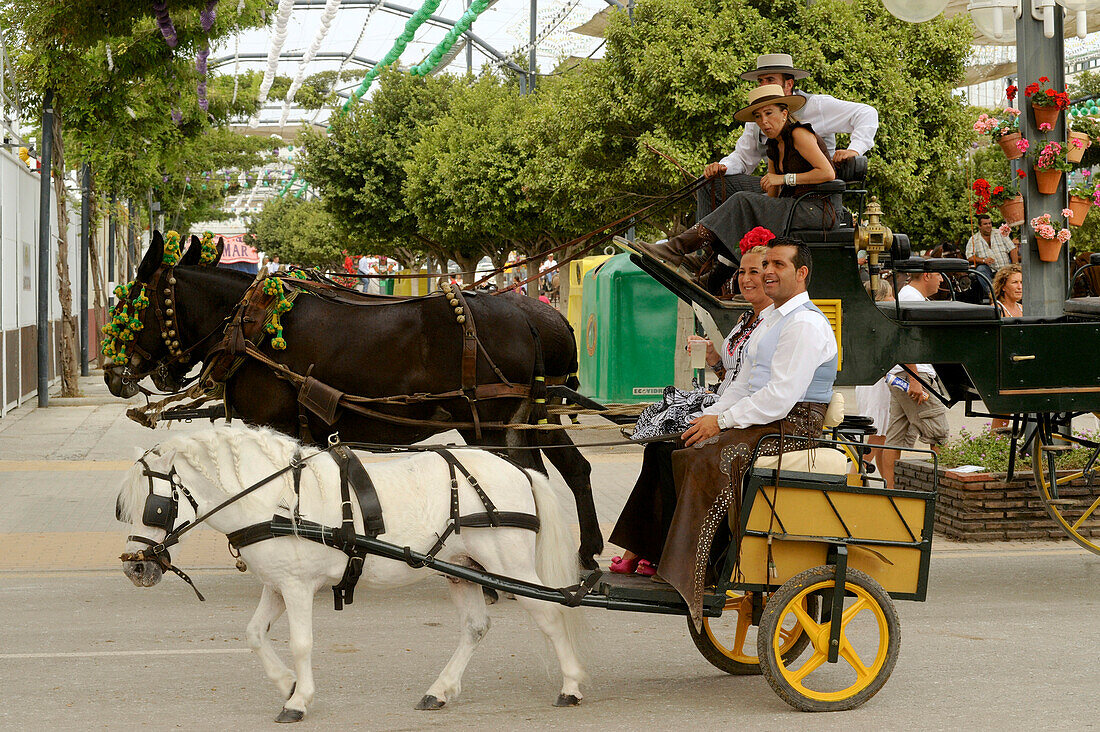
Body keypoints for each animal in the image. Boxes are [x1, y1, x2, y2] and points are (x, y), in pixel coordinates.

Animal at [103, 234, 607, 563]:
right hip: (531, 417)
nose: (110, 373)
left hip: (490, 421)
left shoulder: (273, 426)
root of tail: (535, 319)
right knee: (570, 469)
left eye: (131, 304)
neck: (249, 326)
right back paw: (585, 550)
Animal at [113, 422, 585, 717]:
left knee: (551, 612)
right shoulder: (277, 584)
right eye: (124, 509)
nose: (136, 568)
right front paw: (285, 682)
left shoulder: (298, 586)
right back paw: (439, 691)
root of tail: (517, 467)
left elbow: (301, 643)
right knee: (475, 627)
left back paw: (571, 685)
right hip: (461, 567)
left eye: (155, 507)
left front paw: (297, 701)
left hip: (509, 563)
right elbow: (254, 634)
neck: (275, 499)